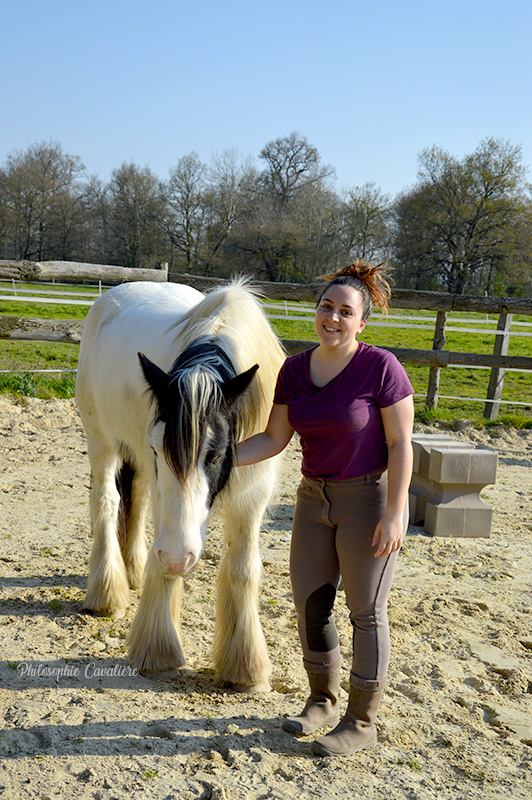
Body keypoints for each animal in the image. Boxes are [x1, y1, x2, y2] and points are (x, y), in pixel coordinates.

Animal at [75, 278, 286, 692]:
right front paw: (158, 649)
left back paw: (133, 570)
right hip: (102, 441)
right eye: (160, 449)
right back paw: (107, 592)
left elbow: (242, 567)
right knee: (107, 502)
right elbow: (165, 562)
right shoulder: (161, 480)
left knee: (135, 500)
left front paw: (246, 668)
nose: (180, 556)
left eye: (216, 454)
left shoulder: (253, 492)